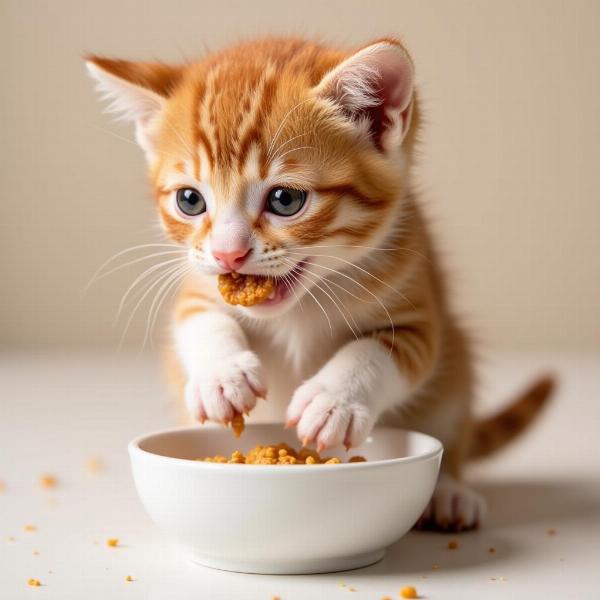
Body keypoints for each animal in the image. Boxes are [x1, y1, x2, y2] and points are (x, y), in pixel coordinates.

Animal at [86, 36, 556, 528]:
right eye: (190, 200)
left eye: (285, 199)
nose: (228, 254)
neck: (301, 305)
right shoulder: (198, 283)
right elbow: (199, 320)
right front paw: (222, 376)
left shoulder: (418, 307)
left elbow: (377, 351)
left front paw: (332, 402)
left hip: (455, 371)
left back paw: (449, 494)